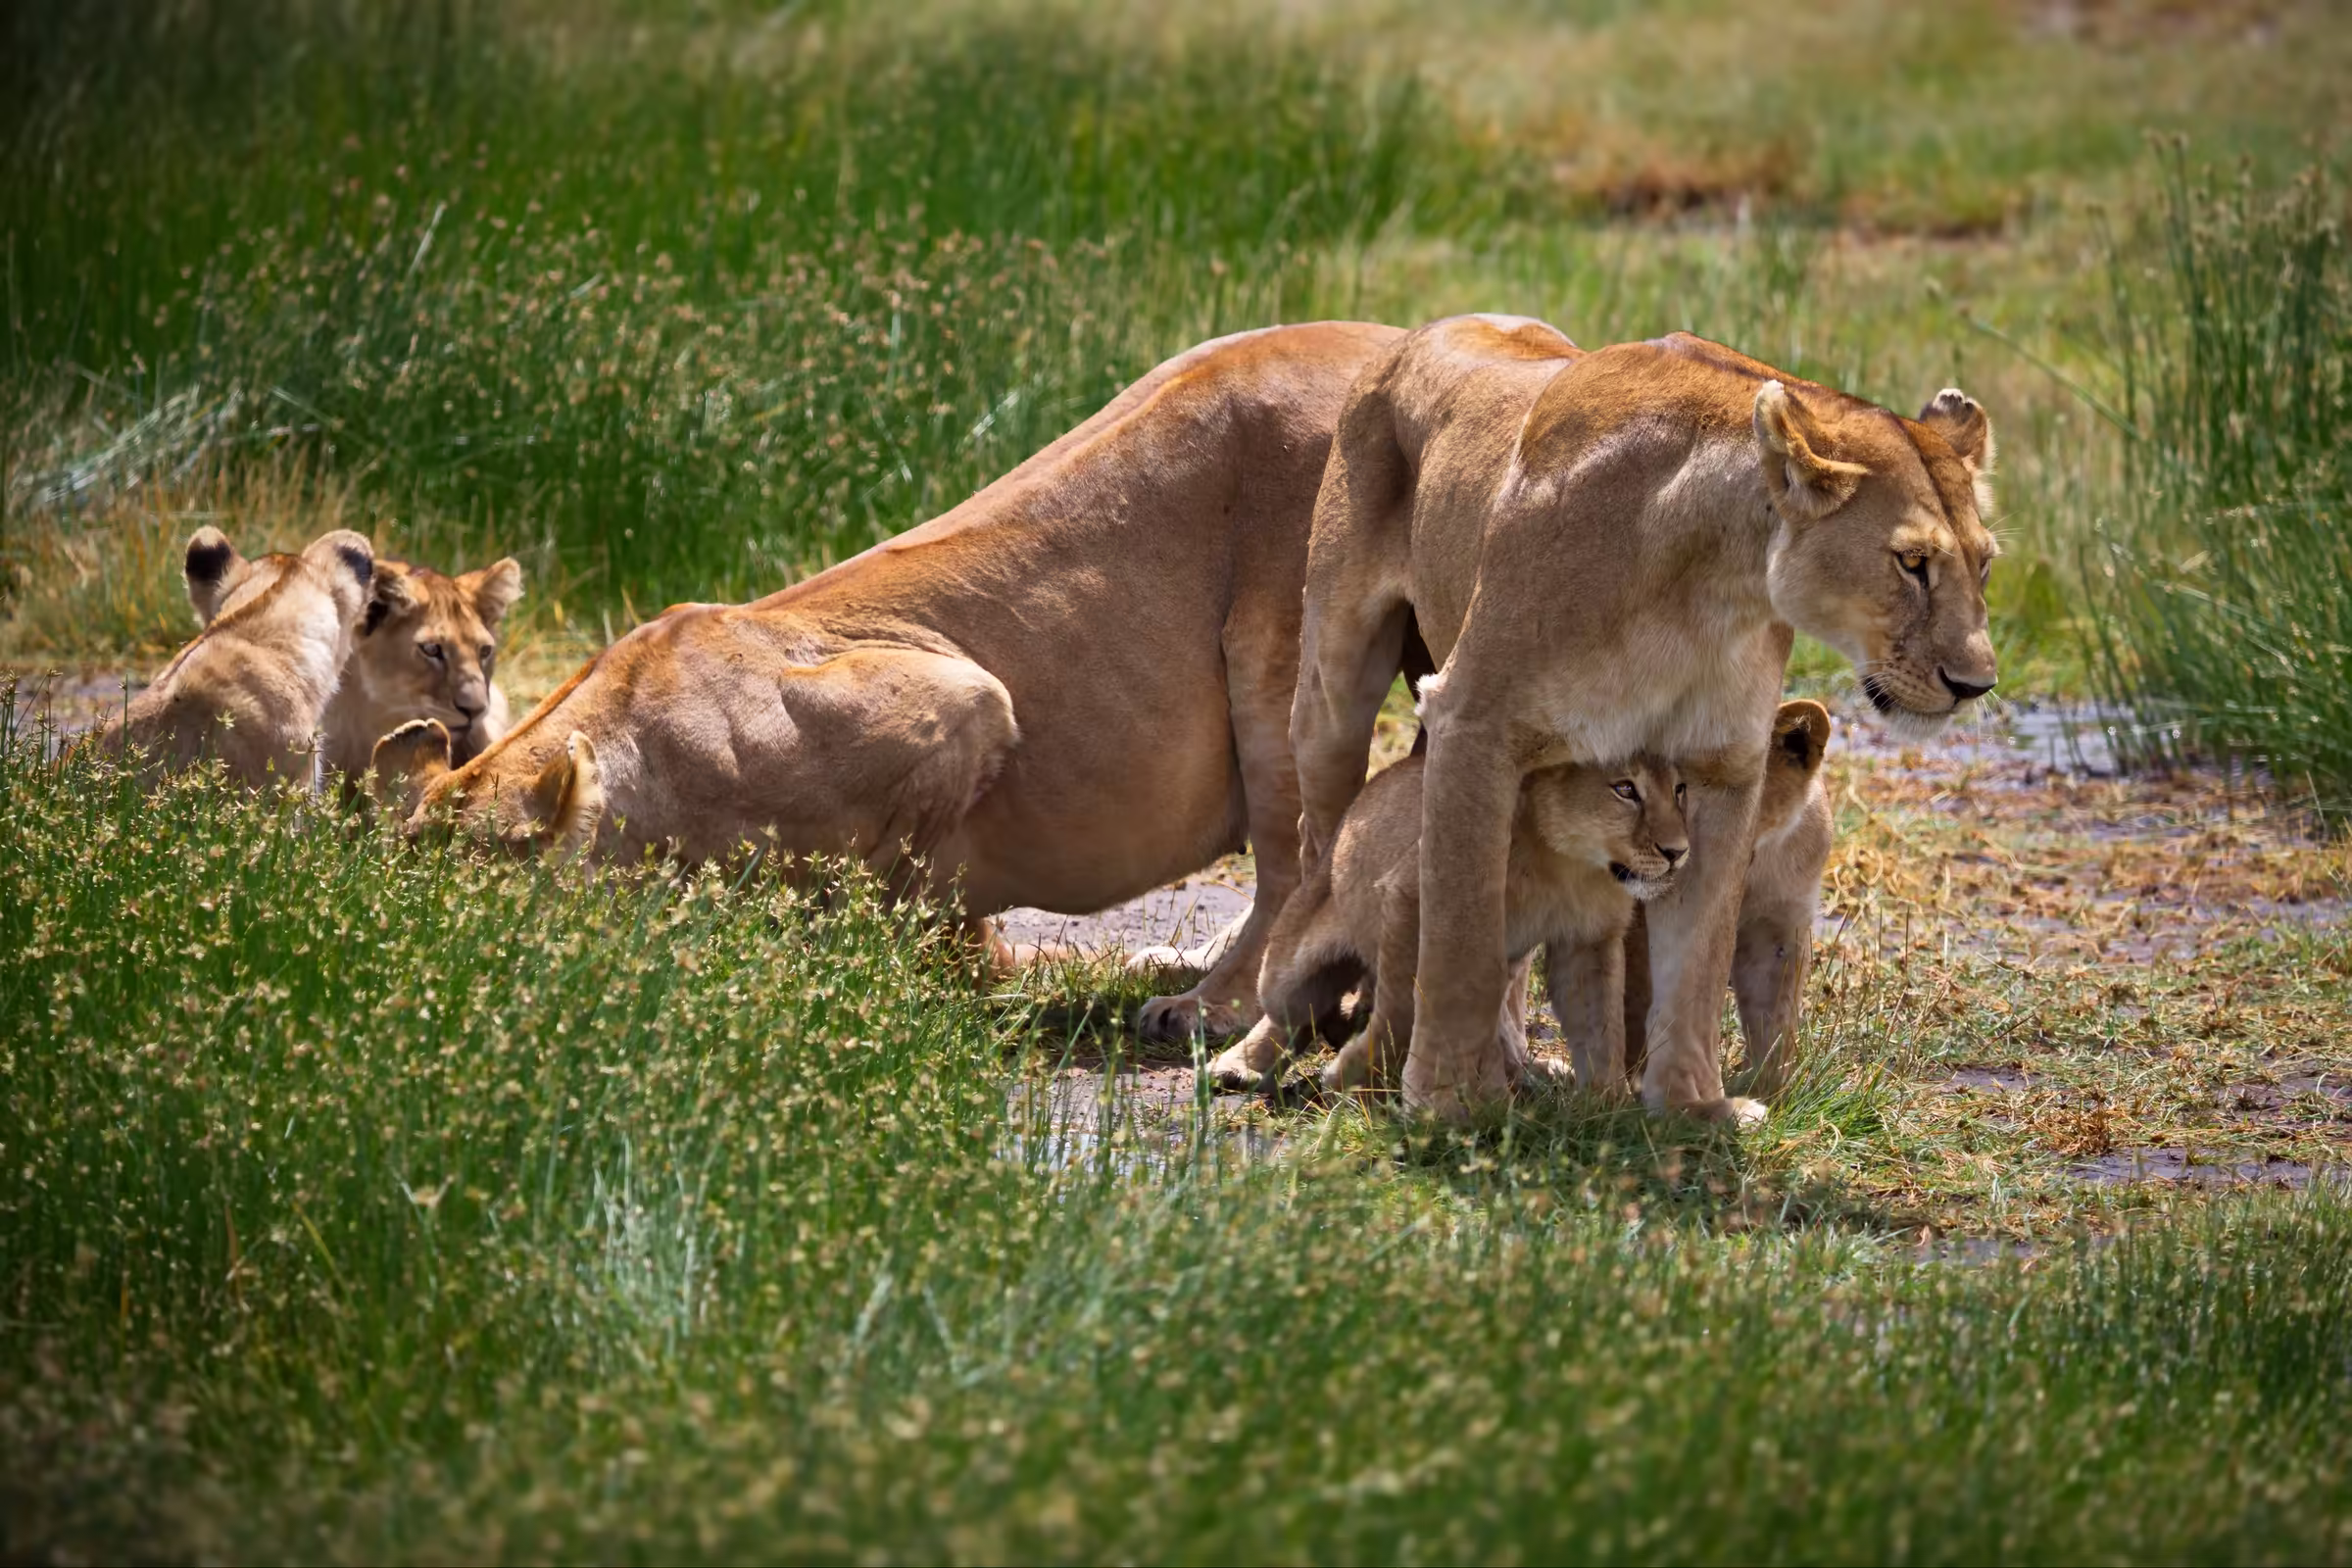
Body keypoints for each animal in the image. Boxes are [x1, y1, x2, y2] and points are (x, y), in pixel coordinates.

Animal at [373, 322, 1406, 1034]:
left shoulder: (962, 701)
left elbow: (880, 892)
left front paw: (892, 973)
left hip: (1286, 649)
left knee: (1295, 851)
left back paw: (1216, 1008)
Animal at [1209, 750, 1687, 1096]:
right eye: (1625, 788)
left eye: (1679, 789)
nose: (1678, 851)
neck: (1566, 863)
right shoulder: (1412, 899)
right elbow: (1402, 1011)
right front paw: (1350, 1075)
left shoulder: (1590, 939)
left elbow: (1601, 1028)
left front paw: (1607, 1109)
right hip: (1290, 958)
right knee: (1286, 1015)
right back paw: (1237, 1067)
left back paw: (1530, 1073)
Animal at [1616, 696, 1833, 1096]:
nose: (1675, 851)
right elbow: (1639, 991)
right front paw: (1637, 1081)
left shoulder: (1778, 924)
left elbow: (1775, 1013)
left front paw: (1768, 1090)